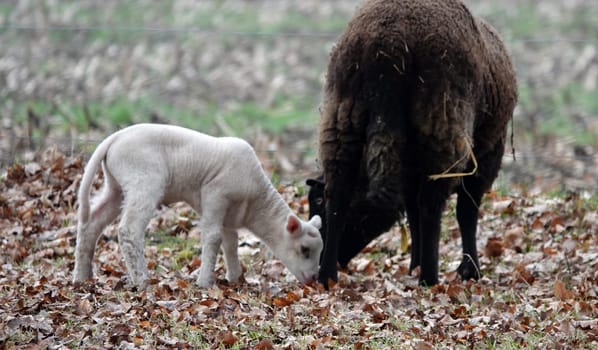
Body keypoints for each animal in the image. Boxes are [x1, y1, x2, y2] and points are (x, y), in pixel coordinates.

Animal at [73, 124, 326, 288]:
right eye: (304, 249)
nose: (314, 279)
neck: (256, 203)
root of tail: (113, 138)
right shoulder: (215, 195)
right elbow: (213, 238)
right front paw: (204, 282)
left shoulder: (229, 215)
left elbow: (231, 244)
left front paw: (236, 278)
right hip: (144, 181)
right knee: (129, 230)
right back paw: (142, 280)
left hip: (116, 186)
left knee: (91, 224)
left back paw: (82, 276)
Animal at [314, 0, 520, 286]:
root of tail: (387, 48)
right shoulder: (487, 152)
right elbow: (465, 212)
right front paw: (469, 271)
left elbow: (412, 212)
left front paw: (415, 264)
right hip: (441, 124)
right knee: (430, 206)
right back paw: (430, 278)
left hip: (342, 118)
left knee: (338, 194)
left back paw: (327, 276)